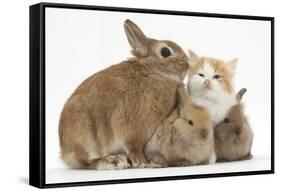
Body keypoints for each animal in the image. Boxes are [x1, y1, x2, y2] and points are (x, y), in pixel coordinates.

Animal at [58, 19, 188, 169]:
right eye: (165, 51)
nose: (187, 63)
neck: (153, 72)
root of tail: (65, 152)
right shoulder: (133, 127)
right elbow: (133, 146)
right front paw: (142, 162)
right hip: (84, 134)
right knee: (86, 161)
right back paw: (113, 161)